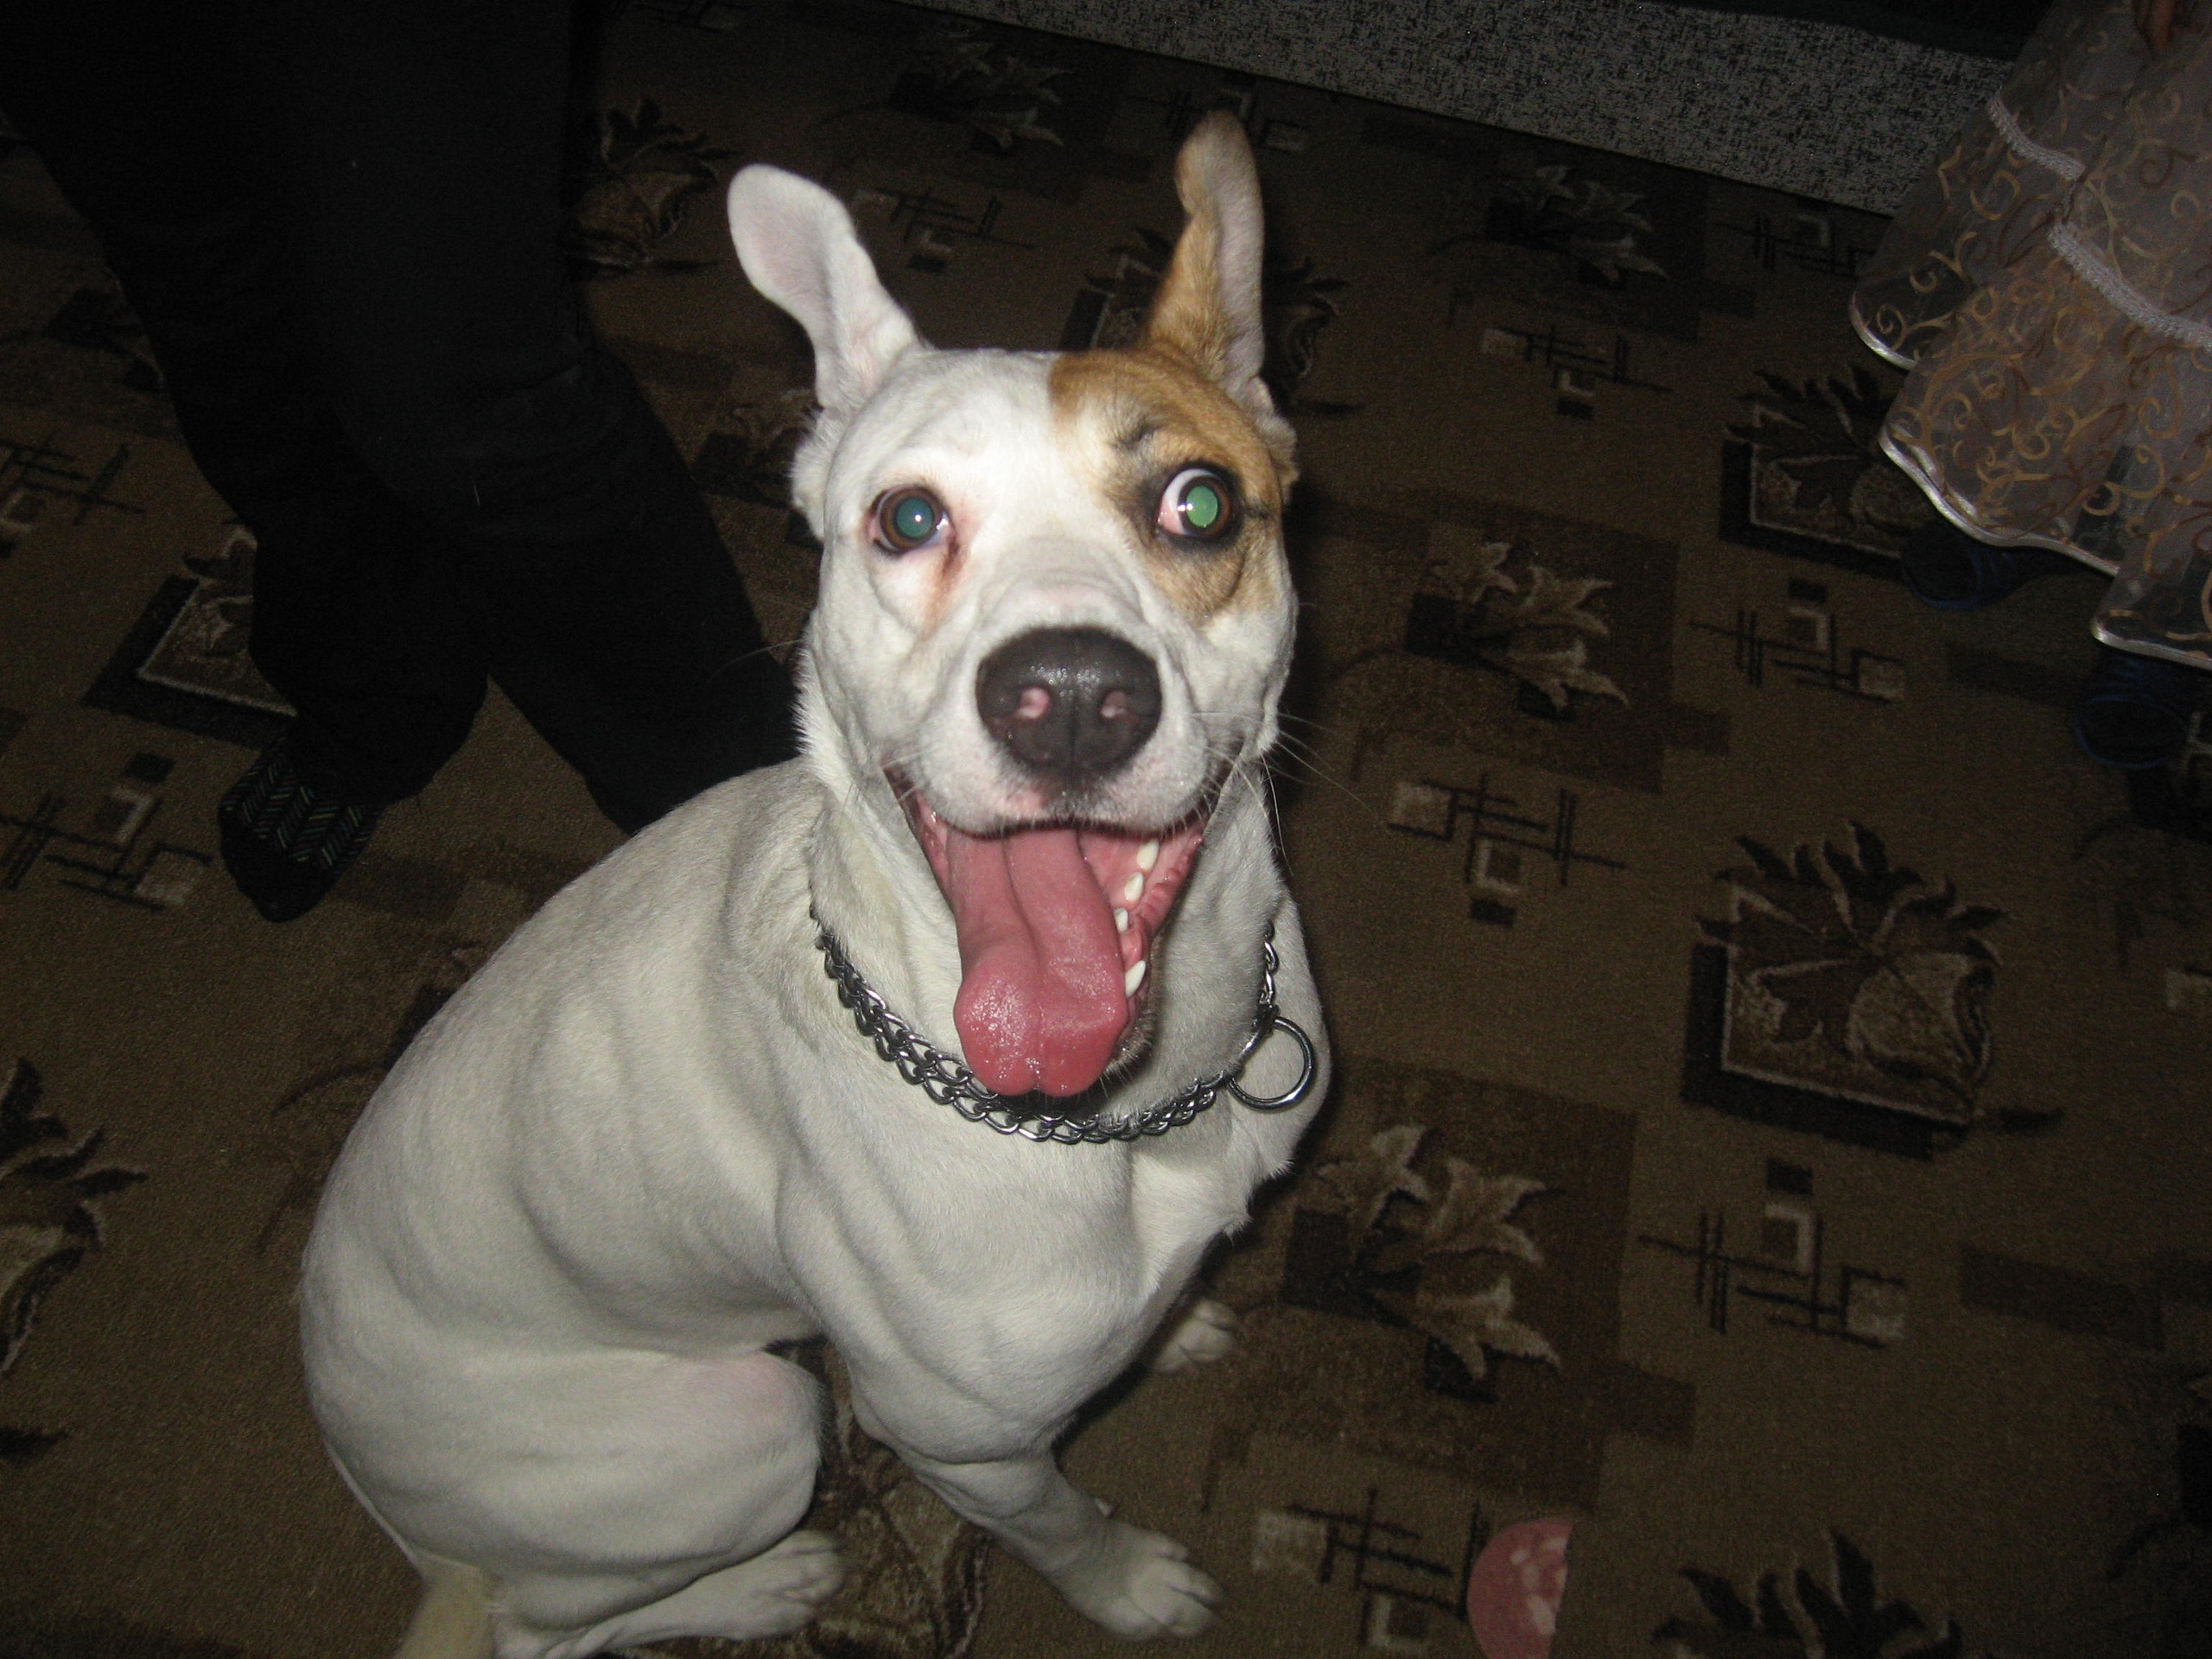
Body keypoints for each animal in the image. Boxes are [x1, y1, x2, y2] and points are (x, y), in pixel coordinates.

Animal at [300, 111, 1327, 1659]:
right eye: (906, 519)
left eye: (1198, 504)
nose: (1071, 697)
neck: (1143, 1107)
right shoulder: (968, 1449)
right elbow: (1066, 1527)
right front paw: (1134, 1586)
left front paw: (1179, 1321)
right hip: (754, 1430)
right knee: (554, 1627)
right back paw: (767, 1584)